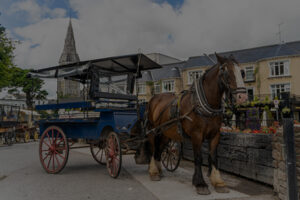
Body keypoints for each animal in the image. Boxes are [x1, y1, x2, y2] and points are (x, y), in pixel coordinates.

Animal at [144, 54, 247, 195]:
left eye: (241, 72)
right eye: (225, 71)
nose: (242, 96)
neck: (203, 104)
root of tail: (154, 98)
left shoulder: (215, 135)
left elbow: (213, 157)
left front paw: (218, 182)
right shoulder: (196, 135)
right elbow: (198, 158)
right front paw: (200, 183)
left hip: (165, 132)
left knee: (159, 149)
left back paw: (159, 169)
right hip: (153, 130)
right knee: (153, 147)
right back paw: (153, 171)